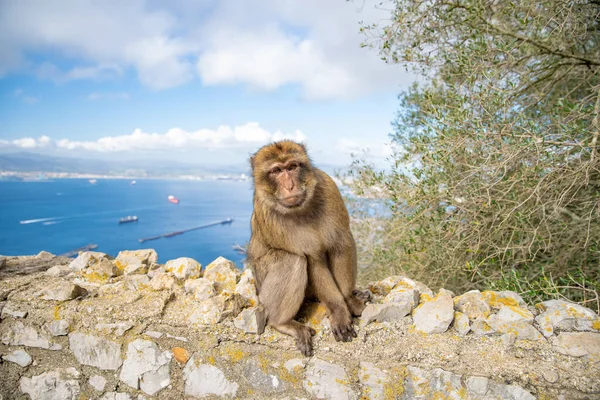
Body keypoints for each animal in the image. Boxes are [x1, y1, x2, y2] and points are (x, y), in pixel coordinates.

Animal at [246, 140, 368, 356]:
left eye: (293, 167)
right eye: (276, 171)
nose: (289, 185)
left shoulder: (329, 188)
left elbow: (341, 244)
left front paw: (348, 300)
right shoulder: (270, 214)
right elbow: (313, 259)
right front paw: (339, 310)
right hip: (262, 287)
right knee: (292, 259)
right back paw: (282, 323)